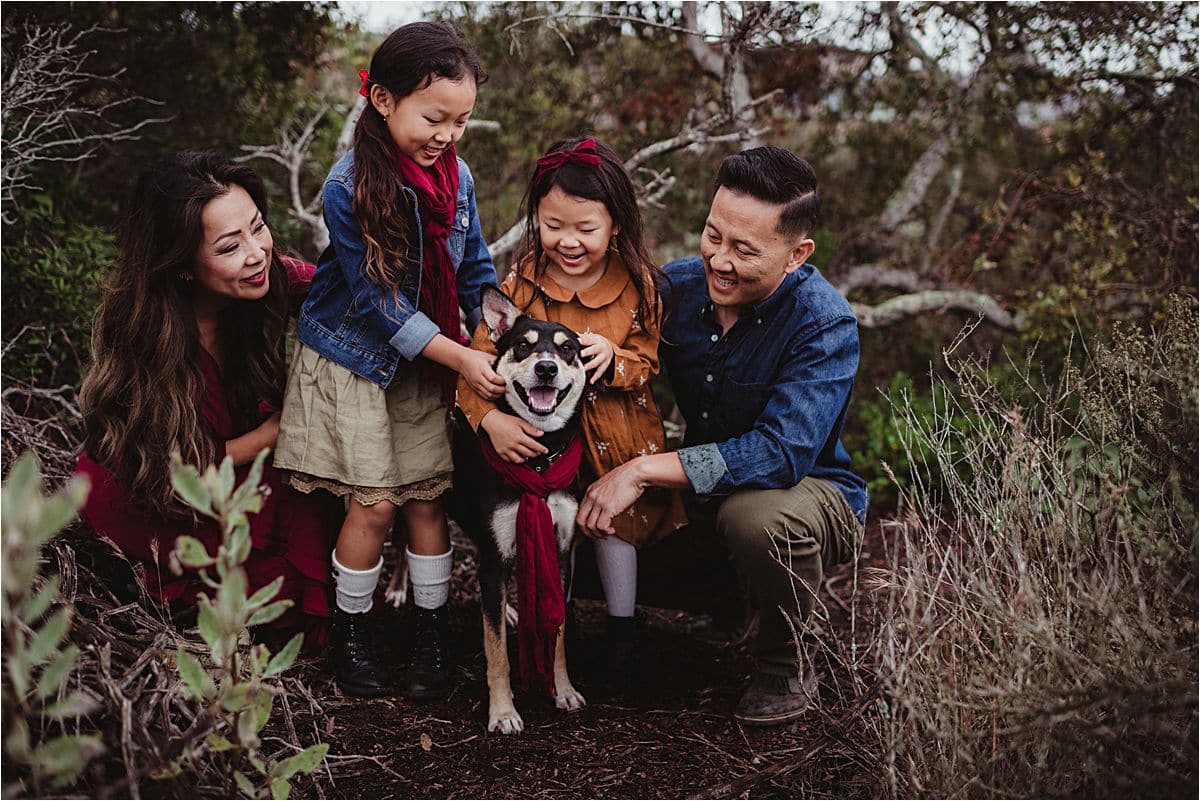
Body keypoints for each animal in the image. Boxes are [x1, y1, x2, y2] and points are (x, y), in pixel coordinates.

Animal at [451, 286, 588, 733]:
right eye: (523, 346)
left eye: (567, 350)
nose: (546, 368)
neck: (540, 458)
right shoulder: (495, 557)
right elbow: (497, 652)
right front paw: (503, 712)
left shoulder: (560, 552)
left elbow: (557, 633)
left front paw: (563, 690)